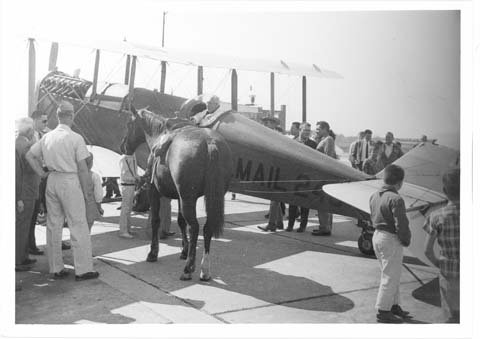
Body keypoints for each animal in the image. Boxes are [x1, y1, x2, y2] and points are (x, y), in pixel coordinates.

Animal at [120, 107, 232, 282]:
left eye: (129, 124)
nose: (123, 146)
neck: (160, 136)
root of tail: (210, 143)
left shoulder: (154, 191)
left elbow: (156, 220)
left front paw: (153, 253)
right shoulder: (180, 197)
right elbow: (180, 222)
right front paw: (184, 251)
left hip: (188, 199)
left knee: (194, 227)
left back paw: (188, 268)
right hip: (206, 197)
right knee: (207, 228)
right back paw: (204, 269)